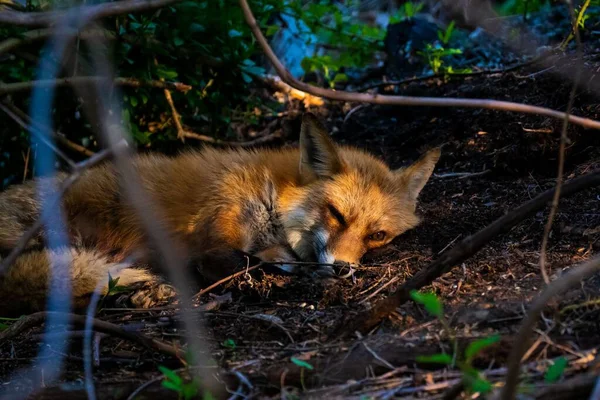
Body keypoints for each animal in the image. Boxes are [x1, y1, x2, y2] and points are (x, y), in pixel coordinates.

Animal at [0, 114, 440, 314]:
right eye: (335, 213)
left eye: (377, 235)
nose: (345, 268)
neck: (271, 196)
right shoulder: (211, 241)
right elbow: (248, 265)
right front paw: (295, 281)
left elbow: (276, 262)